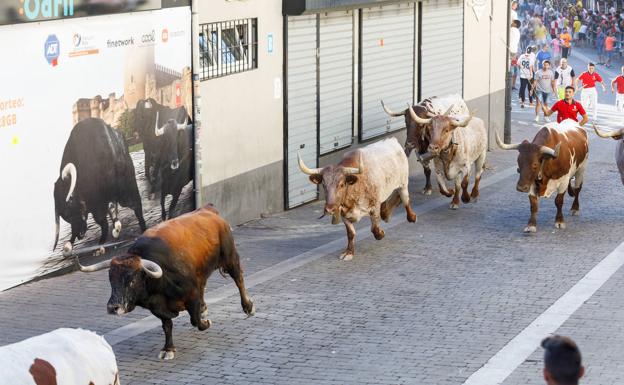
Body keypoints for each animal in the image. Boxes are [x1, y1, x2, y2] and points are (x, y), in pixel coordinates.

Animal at [53, 117, 146, 255]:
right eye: (65, 216)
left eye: (69, 207)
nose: (80, 235)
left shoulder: (99, 205)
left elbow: (104, 222)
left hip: (126, 190)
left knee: (134, 206)